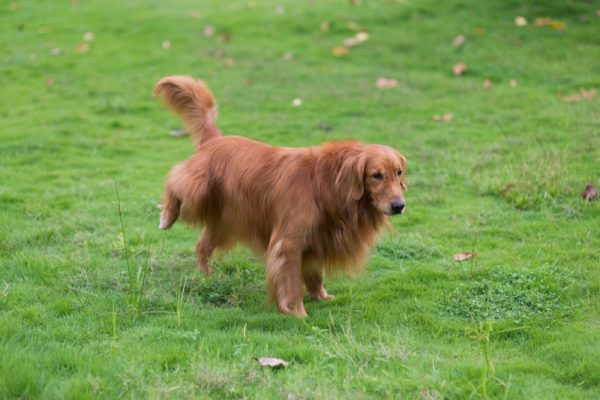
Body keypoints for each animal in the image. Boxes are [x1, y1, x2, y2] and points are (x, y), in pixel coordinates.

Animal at [155, 76, 408, 318]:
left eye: (399, 172)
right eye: (376, 175)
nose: (399, 205)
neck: (328, 184)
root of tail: (215, 139)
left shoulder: (317, 238)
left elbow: (315, 274)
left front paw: (320, 295)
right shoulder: (289, 243)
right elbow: (292, 282)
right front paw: (297, 312)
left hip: (226, 219)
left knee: (201, 246)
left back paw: (206, 275)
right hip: (197, 189)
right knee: (175, 180)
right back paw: (167, 217)